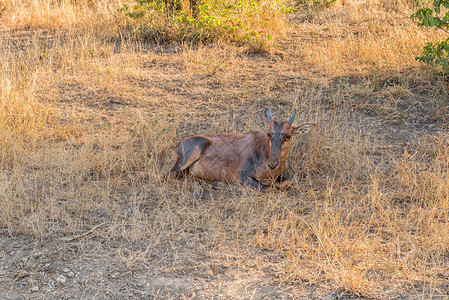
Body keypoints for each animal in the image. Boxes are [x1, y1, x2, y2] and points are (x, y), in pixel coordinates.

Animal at [165, 109, 316, 193]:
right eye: (269, 134)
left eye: (288, 135)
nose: (272, 164)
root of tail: (178, 145)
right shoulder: (242, 177)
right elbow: (269, 189)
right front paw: (220, 184)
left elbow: (286, 183)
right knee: (168, 176)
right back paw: (198, 189)